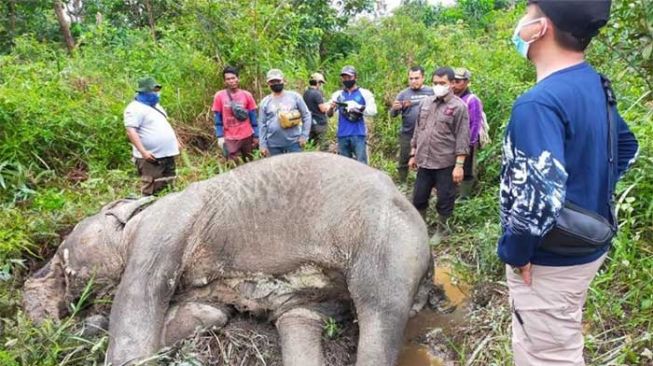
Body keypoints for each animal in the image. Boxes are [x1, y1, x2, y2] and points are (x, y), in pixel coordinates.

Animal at [24, 152, 432, 366]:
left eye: (59, 253)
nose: (31, 278)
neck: (137, 218)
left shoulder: (163, 227)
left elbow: (139, 298)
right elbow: (207, 314)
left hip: (388, 242)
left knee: (379, 309)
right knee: (299, 318)